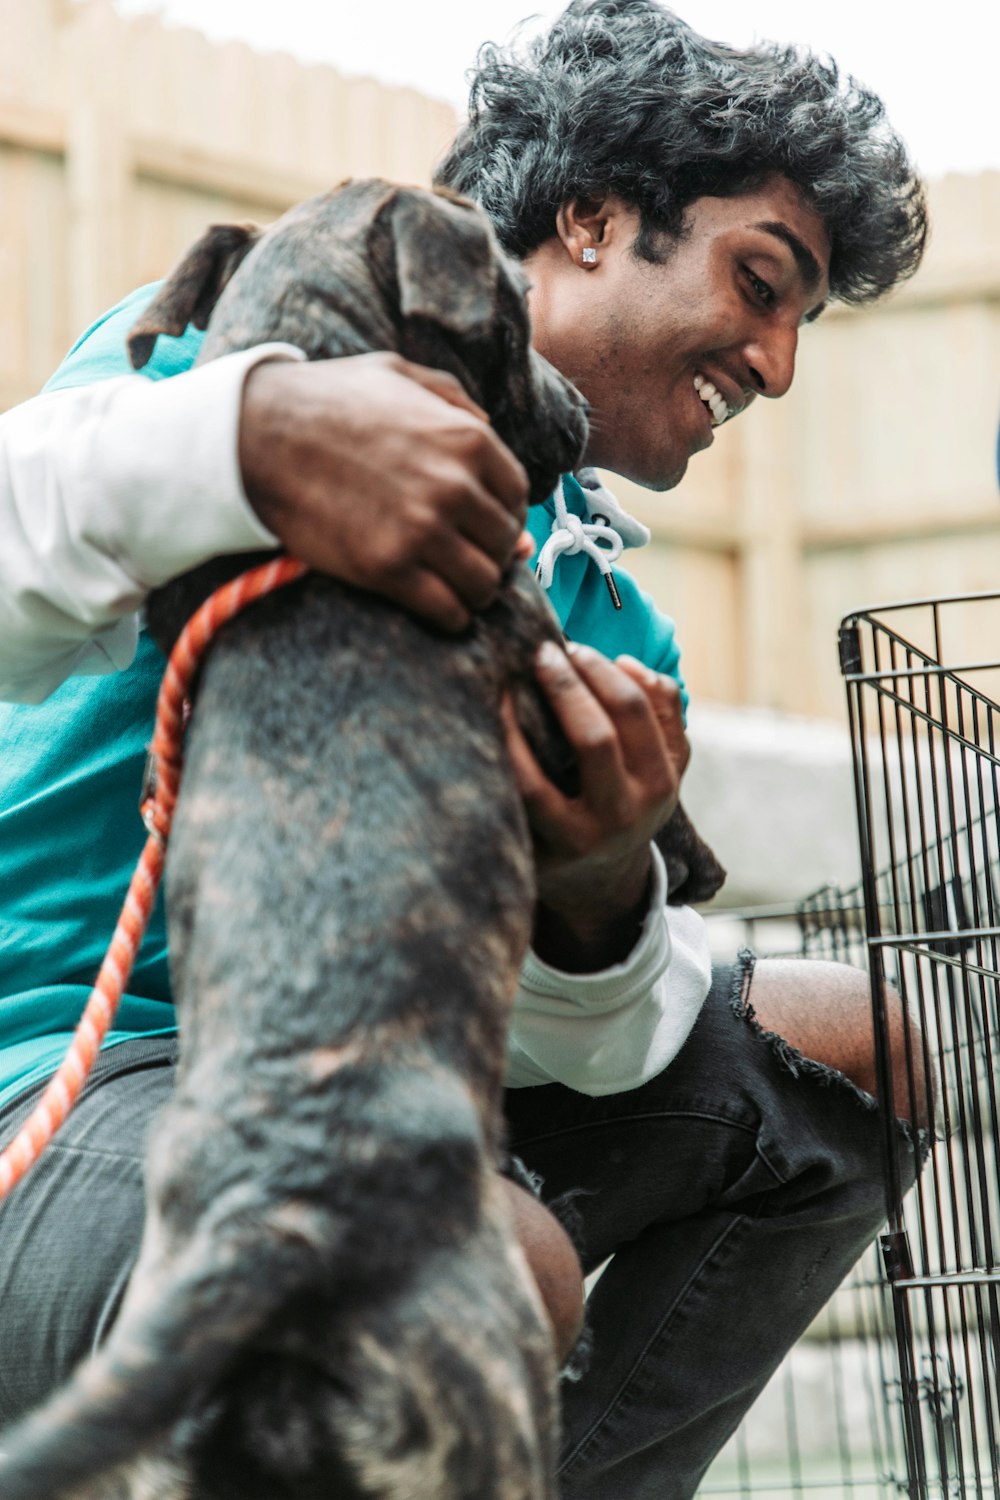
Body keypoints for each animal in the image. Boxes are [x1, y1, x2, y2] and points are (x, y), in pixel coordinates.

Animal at [0, 178, 719, 1500]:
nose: (579, 409)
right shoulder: (538, 652)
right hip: (492, 1405)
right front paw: (685, 855)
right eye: (513, 309)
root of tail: (276, 1226)